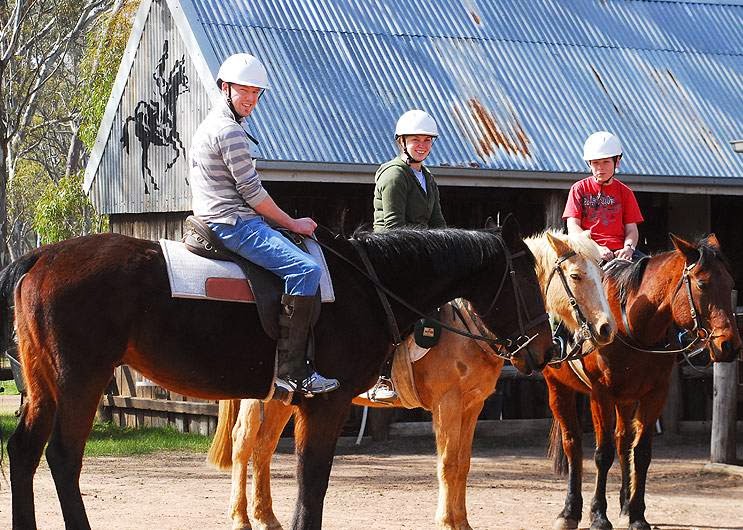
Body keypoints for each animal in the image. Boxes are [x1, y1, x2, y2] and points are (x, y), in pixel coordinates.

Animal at [1, 216, 560, 528]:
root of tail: (41, 256)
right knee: (63, 458)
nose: (546, 349)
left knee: (24, 453)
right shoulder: (328, 403)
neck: (367, 284)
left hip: (43, 385)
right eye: (527, 277)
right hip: (80, 382)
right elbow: (313, 483)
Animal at [208, 230, 616, 528]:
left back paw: (266, 516)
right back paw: (241, 517)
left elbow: (463, 464)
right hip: (262, 397)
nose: (605, 328)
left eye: (602, 274)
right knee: (245, 444)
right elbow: (448, 463)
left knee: (263, 448)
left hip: (284, 398)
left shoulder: (472, 405)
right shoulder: (448, 403)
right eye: (576, 277)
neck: (467, 326)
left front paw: (461, 522)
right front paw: (448, 522)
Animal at [544, 233, 740, 528]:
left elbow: (642, 453)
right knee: (573, 444)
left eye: (729, 284)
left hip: (626, 399)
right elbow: (603, 454)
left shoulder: (655, 393)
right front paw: (598, 515)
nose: (729, 345)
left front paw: (636, 514)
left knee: (623, 441)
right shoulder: (600, 394)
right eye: (702, 284)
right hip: (558, 387)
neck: (632, 326)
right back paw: (569, 511)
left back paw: (624, 504)